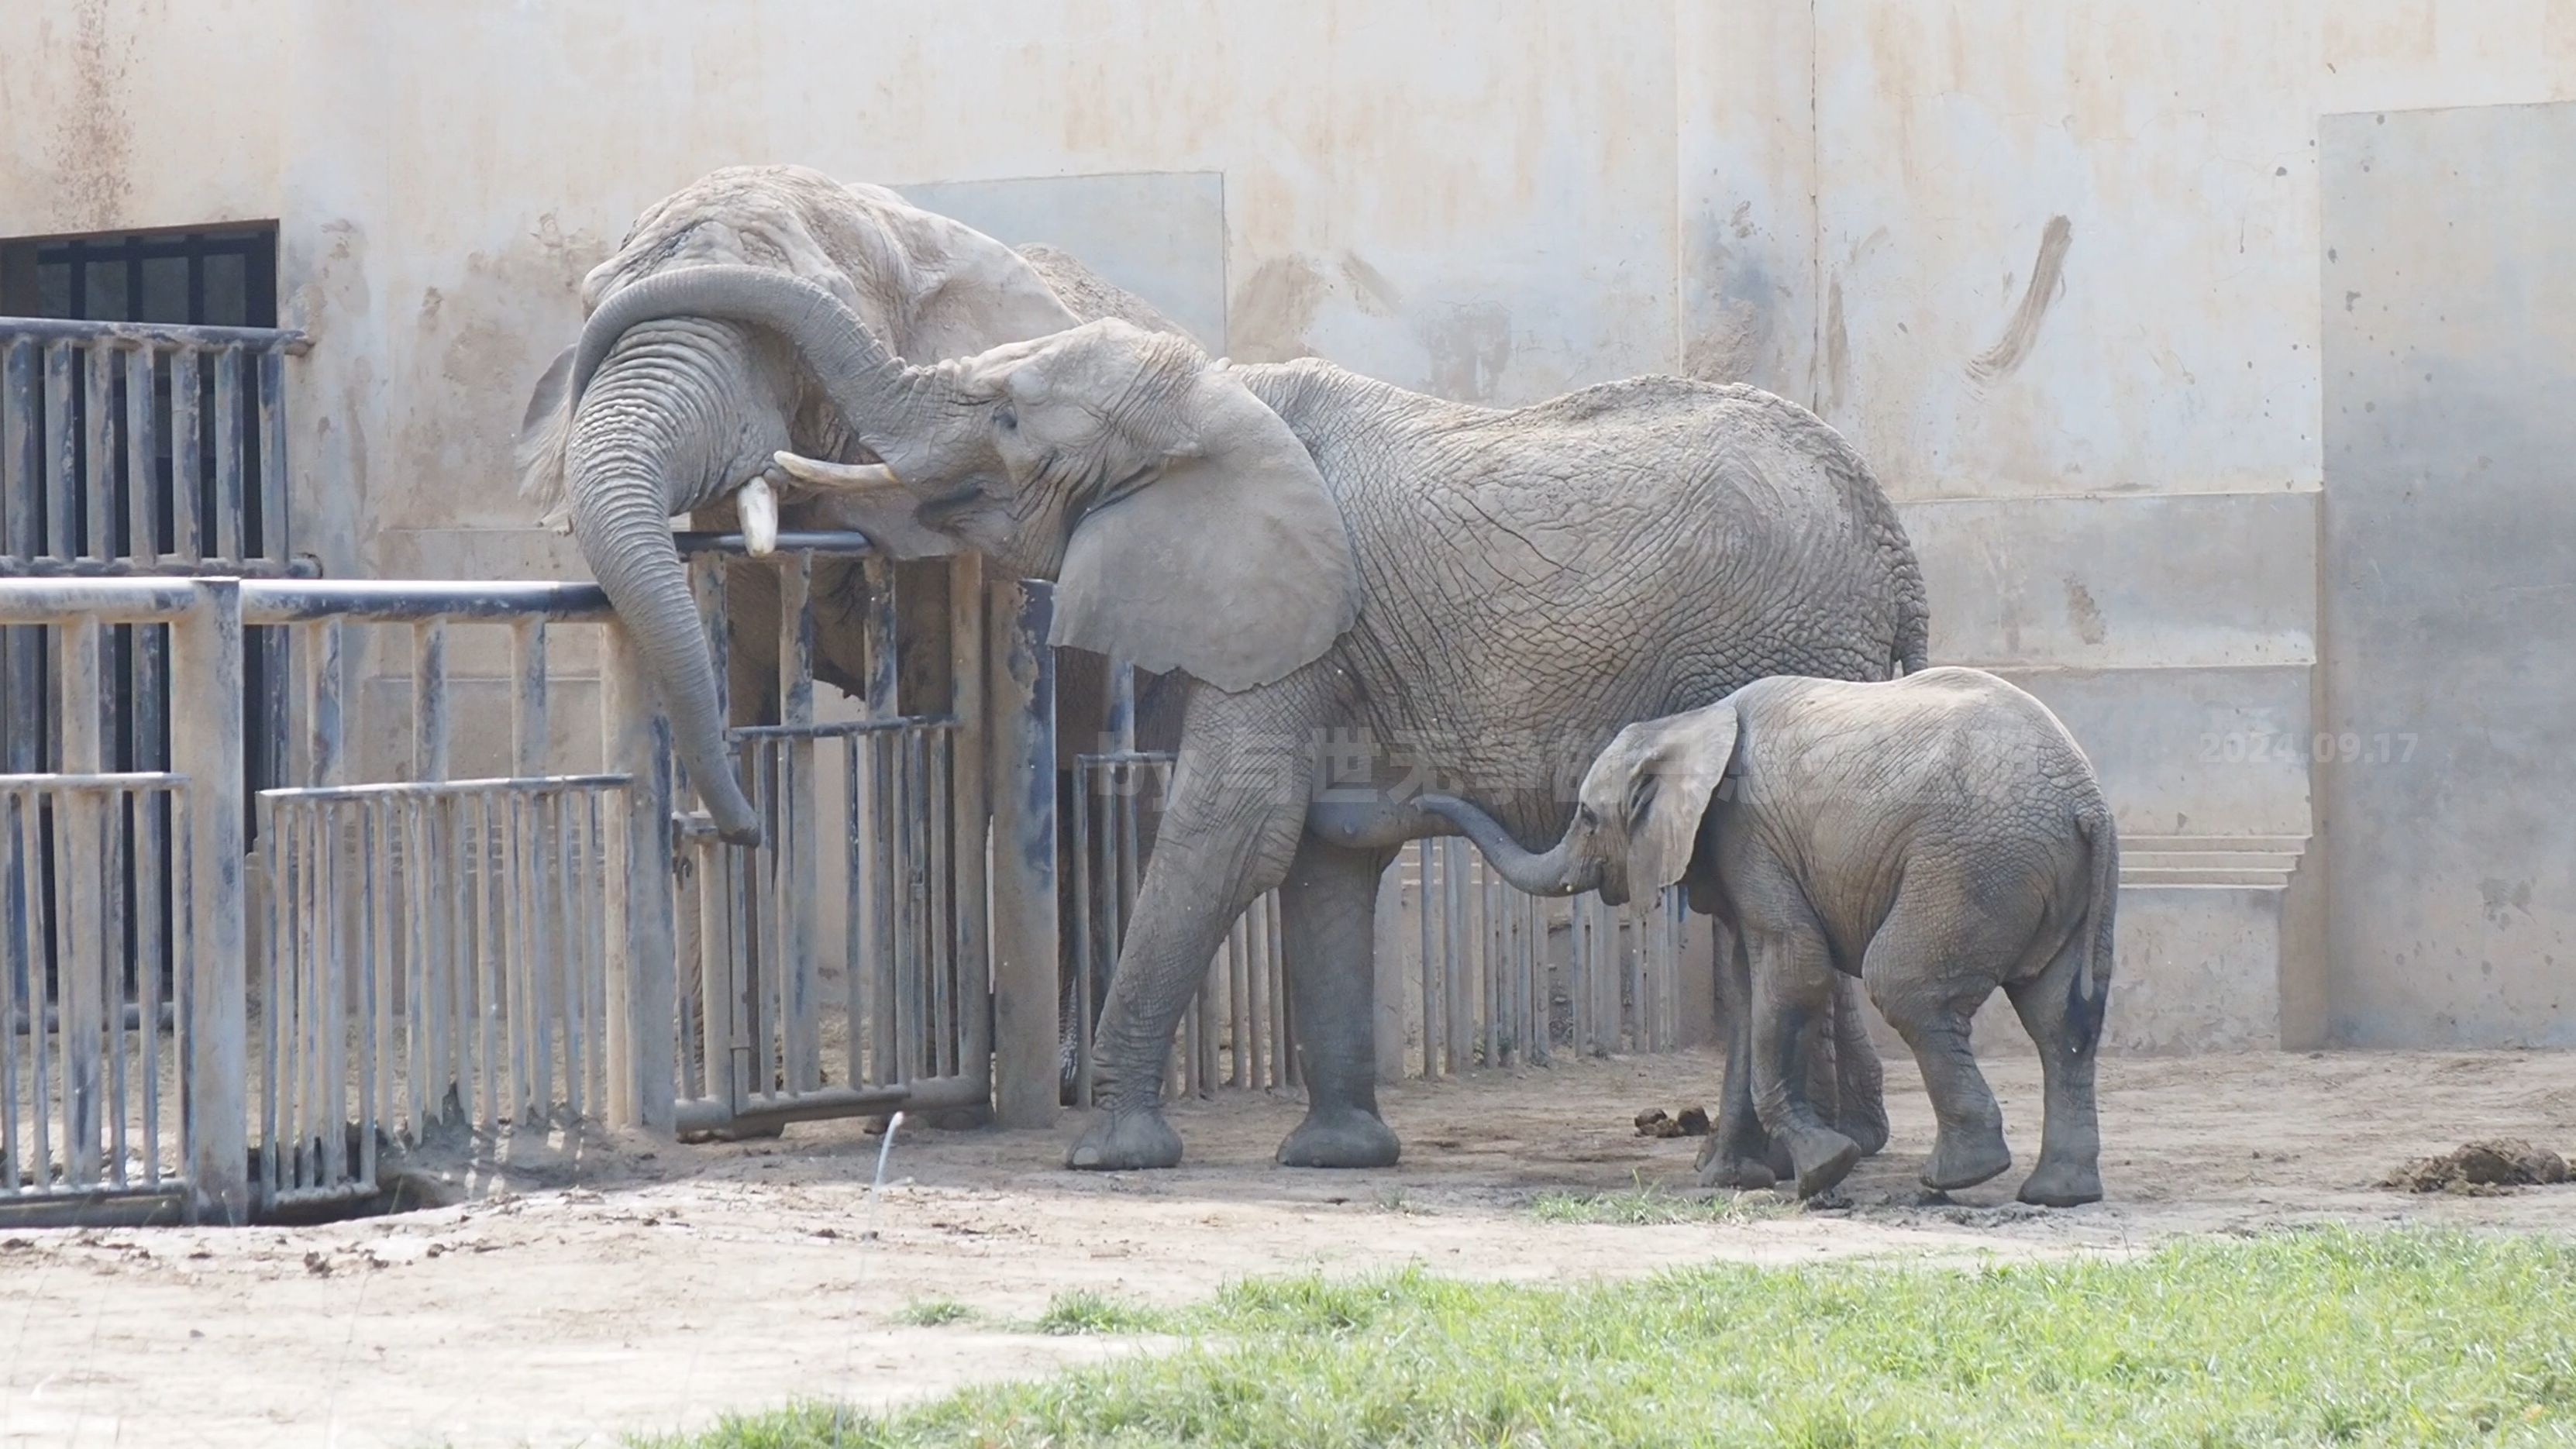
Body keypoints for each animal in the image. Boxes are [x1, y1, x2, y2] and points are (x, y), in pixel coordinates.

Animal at [1432, 674, 2112, 1214]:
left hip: (1972, 864)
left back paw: (1957, 1177)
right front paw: (1726, 1179)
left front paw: (1821, 1171)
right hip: (2049, 879)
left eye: (1587, 818)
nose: (1421, 798)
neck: (1690, 725)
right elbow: (1745, 994)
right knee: (2060, 1018)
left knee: (1906, 986)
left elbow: (1792, 972)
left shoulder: (1747, 832)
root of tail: (2089, 805)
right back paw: (2059, 1194)